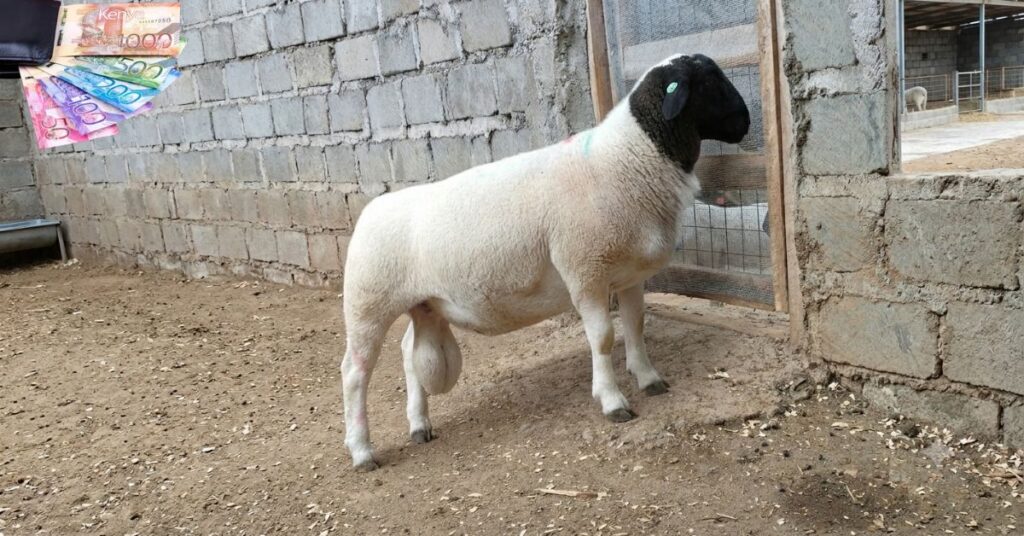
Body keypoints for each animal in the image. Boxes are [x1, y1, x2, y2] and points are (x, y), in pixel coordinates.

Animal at [340, 53, 751, 471]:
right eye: (708, 82)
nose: (746, 123)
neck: (629, 159)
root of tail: (372, 208)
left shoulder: (629, 274)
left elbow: (636, 325)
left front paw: (649, 379)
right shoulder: (584, 270)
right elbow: (603, 338)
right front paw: (612, 401)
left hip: (424, 305)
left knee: (408, 354)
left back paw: (419, 425)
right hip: (367, 305)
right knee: (355, 374)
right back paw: (362, 450)